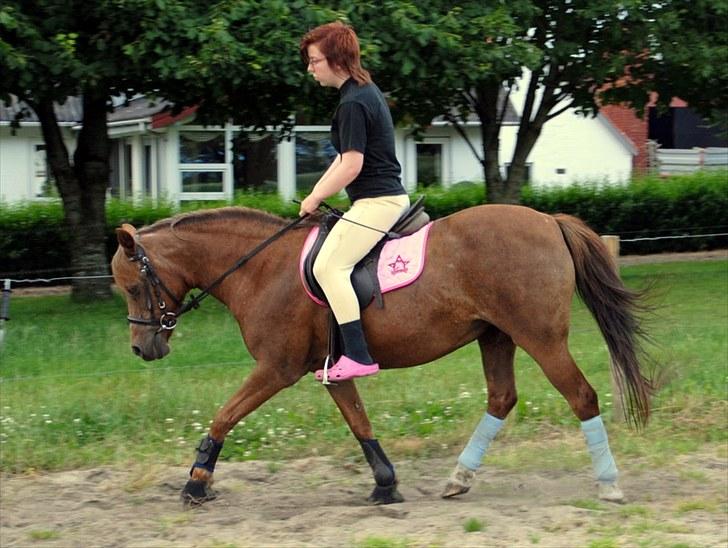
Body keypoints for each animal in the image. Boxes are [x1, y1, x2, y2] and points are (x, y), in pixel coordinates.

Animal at [111, 204, 652, 506]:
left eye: (135, 287)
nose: (142, 348)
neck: (260, 268)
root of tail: (547, 220)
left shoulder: (277, 368)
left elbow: (225, 416)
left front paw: (197, 482)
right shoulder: (329, 369)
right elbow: (360, 422)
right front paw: (386, 484)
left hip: (540, 337)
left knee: (581, 396)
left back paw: (609, 485)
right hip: (496, 336)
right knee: (501, 399)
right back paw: (458, 479)